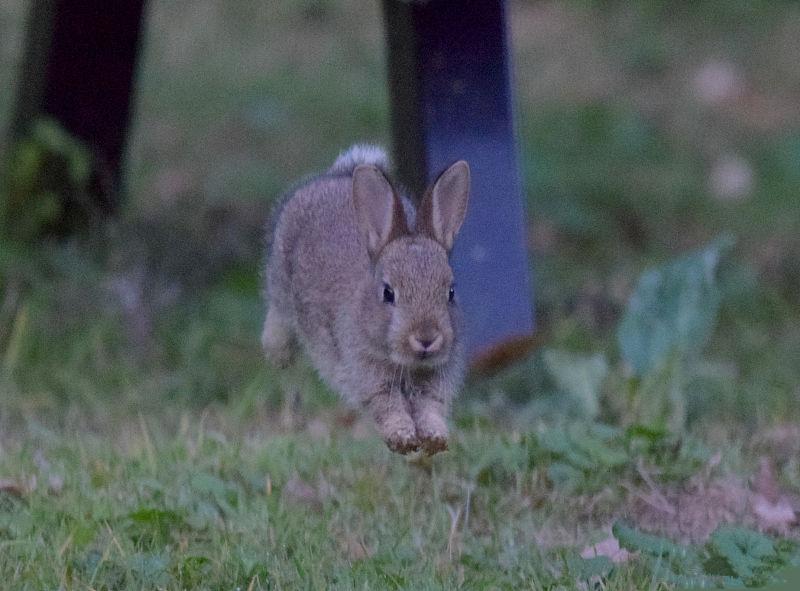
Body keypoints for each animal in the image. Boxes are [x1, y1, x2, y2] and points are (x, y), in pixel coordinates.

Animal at [264, 146, 468, 456]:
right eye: (388, 293)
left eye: (451, 292)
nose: (426, 339)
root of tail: (338, 175)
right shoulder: (367, 375)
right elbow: (387, 407)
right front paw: (403, 439)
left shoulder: (435, 381)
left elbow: (430, 408)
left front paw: (434, 438)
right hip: (280, 281)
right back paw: (278, 354)